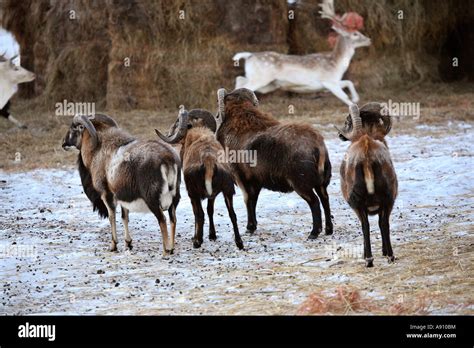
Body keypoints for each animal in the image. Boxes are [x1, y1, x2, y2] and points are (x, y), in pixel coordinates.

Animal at [235, 0, 372, 106]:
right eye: (355, 34)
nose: (369, 40)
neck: (336, 64)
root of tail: (249, 55)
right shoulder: (328, 81)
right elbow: (346, 99)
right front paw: (354, 102)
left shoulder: (333, 82)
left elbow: (349, 82)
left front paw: (356, 98)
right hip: (261, 77)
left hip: (267, 84)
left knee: (240, 80)